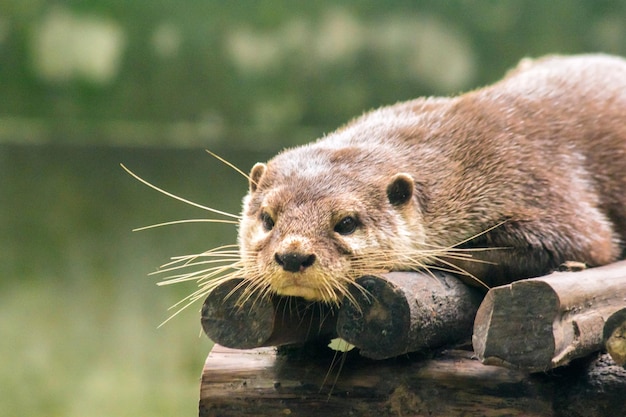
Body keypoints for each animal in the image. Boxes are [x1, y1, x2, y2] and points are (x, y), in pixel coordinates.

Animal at [235, 53, 624, 304]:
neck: (466, 161)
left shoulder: (539, 186)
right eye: (267, 219)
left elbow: (588, 242)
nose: (293, 256)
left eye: (346, 223)